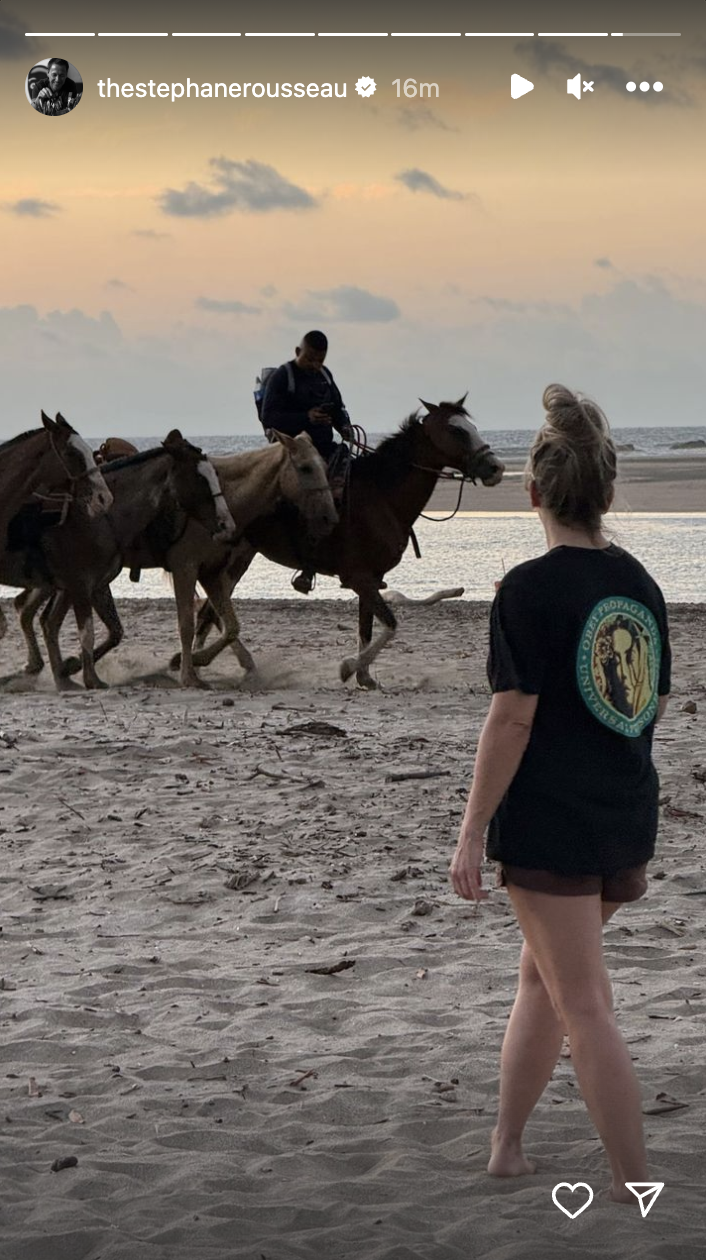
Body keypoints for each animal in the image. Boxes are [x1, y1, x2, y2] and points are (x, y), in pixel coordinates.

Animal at [1, 430, 235, 690]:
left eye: (215, 475)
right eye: (199, 478)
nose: (227, 525)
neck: (99, 516)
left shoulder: (85, 584)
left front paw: (69, 672)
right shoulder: (81, 583)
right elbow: (87, 630)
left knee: (32, 613)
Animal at [190, 395, 504, 685]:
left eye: (471, 427)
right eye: (456, 431)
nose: (496, 468)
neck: (382, 497)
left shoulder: (373, 578)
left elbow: (367, 627)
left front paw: (364, 676)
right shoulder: (358, 577)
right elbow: (390, 624)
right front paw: (349, 667)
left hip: (239, 559)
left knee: (209, 614)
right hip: (231, 562)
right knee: (211, 614)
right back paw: (202, 664)